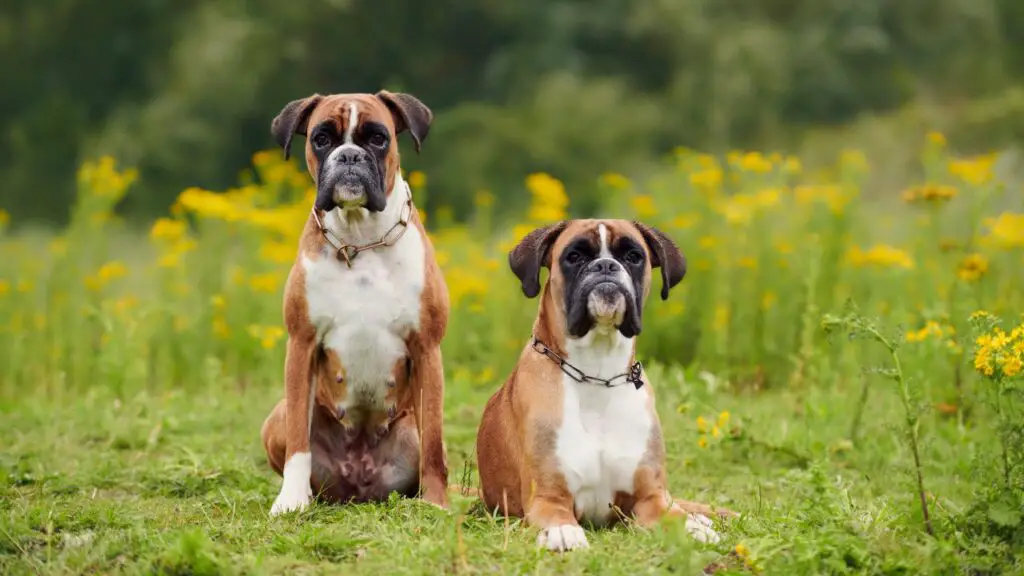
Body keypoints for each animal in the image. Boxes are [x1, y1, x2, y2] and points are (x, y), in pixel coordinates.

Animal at [260, 90, 448, 516]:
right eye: (321, 139)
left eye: (378, 138)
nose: (348, 156)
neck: (361, 240)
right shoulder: (301, 345)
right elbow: (298, 440)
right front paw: (291, 500)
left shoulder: (428, 348)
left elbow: (434, 442)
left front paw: (437, 503)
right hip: (275, 417)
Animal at [475, 218, 733, 545]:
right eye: (574, 256)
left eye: (633, 256)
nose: (606, 266)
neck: (598, 375)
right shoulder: (547, 496)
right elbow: (558, 517)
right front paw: (563, 532)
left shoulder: (650, 497)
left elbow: (675, 516)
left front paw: (695, 528)